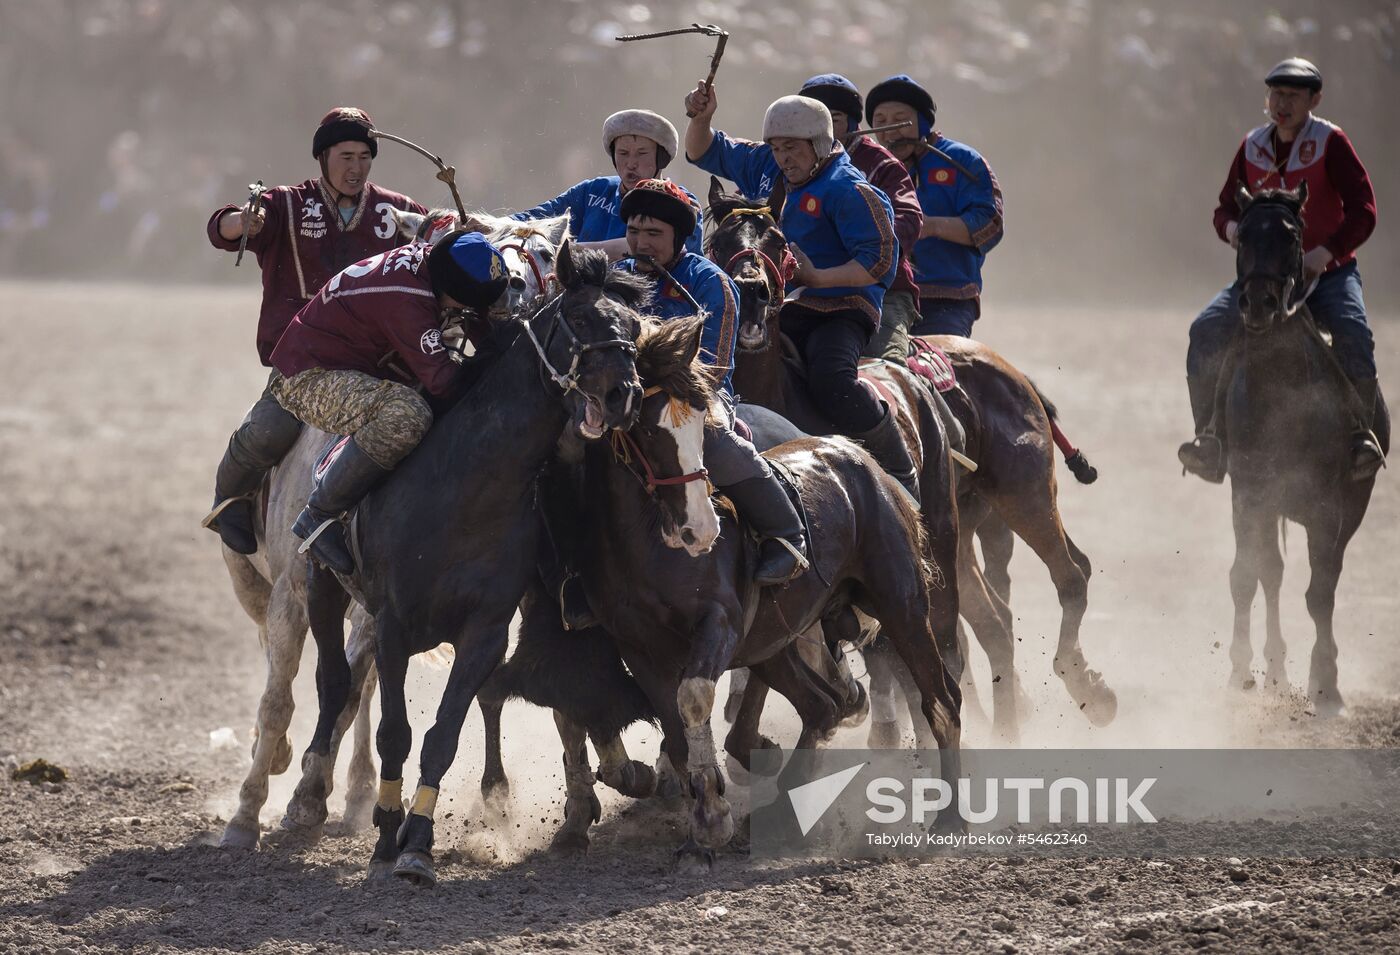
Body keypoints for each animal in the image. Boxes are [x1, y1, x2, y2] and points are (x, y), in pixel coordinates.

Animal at [211, 215, 568, 845]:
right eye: (491, 243)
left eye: (545, 254)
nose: (515, 290)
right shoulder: (294, 597)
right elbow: (281, 698)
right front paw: (249, 811)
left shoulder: (380, 609)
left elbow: (355, 688)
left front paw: (317, 792)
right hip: (253, 583)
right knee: (278, 668)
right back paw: (277, 757)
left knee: (359, 688)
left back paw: (347, 788)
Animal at [298, 242, 646, 879]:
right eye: (581, 319)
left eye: (633, 327)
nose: (623, 396)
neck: (468, 489)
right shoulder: (393, 625)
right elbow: (394, 732)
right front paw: (386, 832)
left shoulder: (484, 631)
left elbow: (443, 734)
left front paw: (416, 840)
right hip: (323, 585)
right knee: (333, 680)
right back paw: (308, 790)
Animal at [711, 178, 1114, 739]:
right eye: (721, 239)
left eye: (776, 239)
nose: (751, 291)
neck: (782, 395)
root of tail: (1011, 372)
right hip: (964, 534)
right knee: (994, 623)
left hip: (1018, 494)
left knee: (1068, 576)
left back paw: (1084, 688)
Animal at [1215, 182, 1388, 711]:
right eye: (1244, 234)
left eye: (1292, 235)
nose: (1259, 304)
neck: (1279, 386)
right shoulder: (1249, 493)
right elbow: (1246, 576)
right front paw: (1240, 671)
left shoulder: (1328, 506)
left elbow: (1320, 594)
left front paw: (1326, 683)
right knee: (1271, 572)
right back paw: (1273, 670)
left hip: (1347, 506)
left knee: (1319, 578)